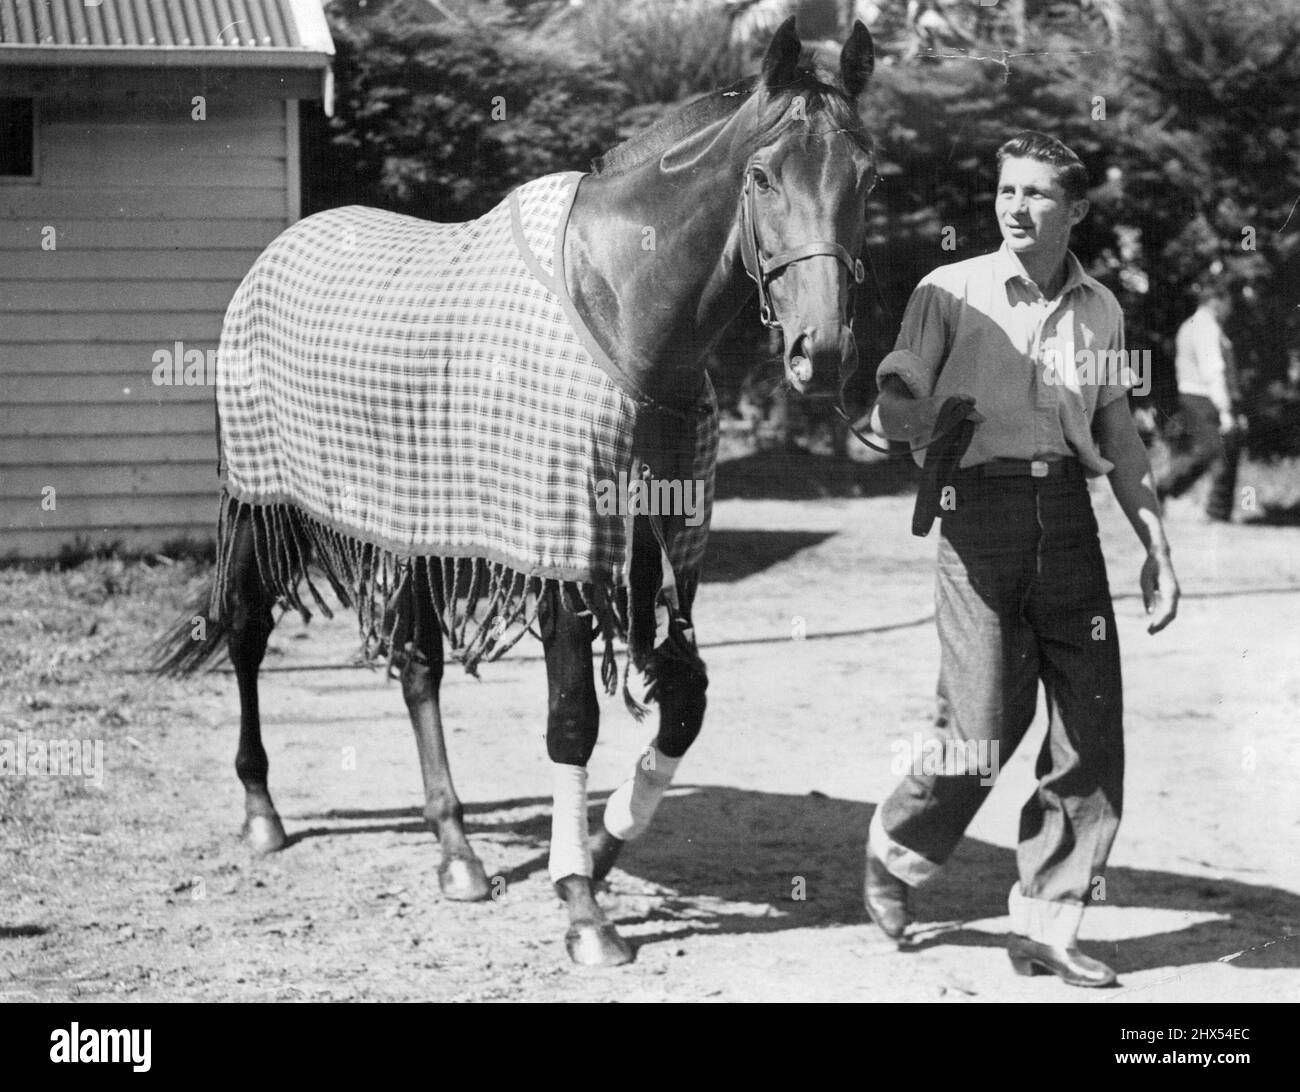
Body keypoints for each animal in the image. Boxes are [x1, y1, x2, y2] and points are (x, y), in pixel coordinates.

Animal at [157, 17, 878, 967]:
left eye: (867, 178)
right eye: (762, 177)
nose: (820, 354)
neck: (620, 312)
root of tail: (273, 256)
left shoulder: (651, 555)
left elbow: (683, 706)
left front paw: (600, 849)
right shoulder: (561, 559)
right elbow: (572, 721)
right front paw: (582, 908)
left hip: (416, 521)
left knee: (417, 668)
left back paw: (457, 852)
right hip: (262, 503)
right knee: (246, 631)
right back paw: (263, 811)